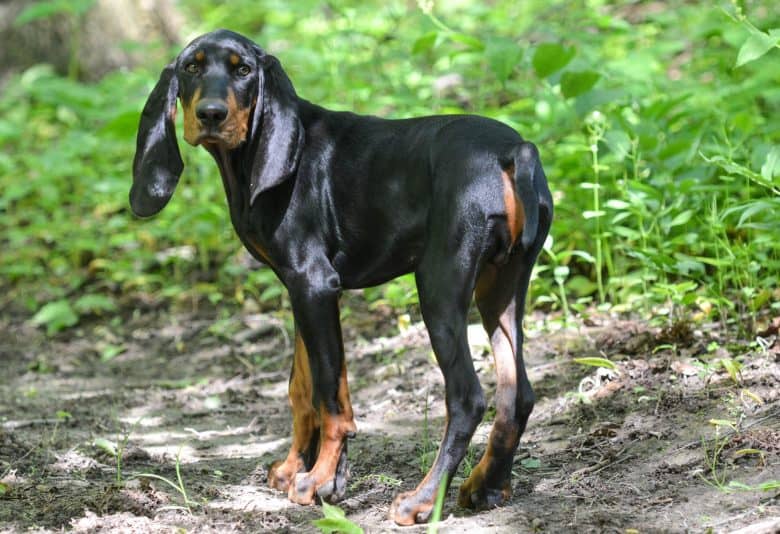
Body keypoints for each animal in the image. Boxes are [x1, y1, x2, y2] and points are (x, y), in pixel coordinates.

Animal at [129, 29, 556, 528]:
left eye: (243, 70)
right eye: (191, 67)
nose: (211, 115)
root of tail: (513, 152)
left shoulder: (314, 282)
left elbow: (328, 400)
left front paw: (317, 481)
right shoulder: (301, 290)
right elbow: (306, 386)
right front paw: (300, 470)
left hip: (439, 286)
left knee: (468, 397)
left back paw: (423, 499)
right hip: (502, 287)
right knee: (517, 395)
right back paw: (486, 485)